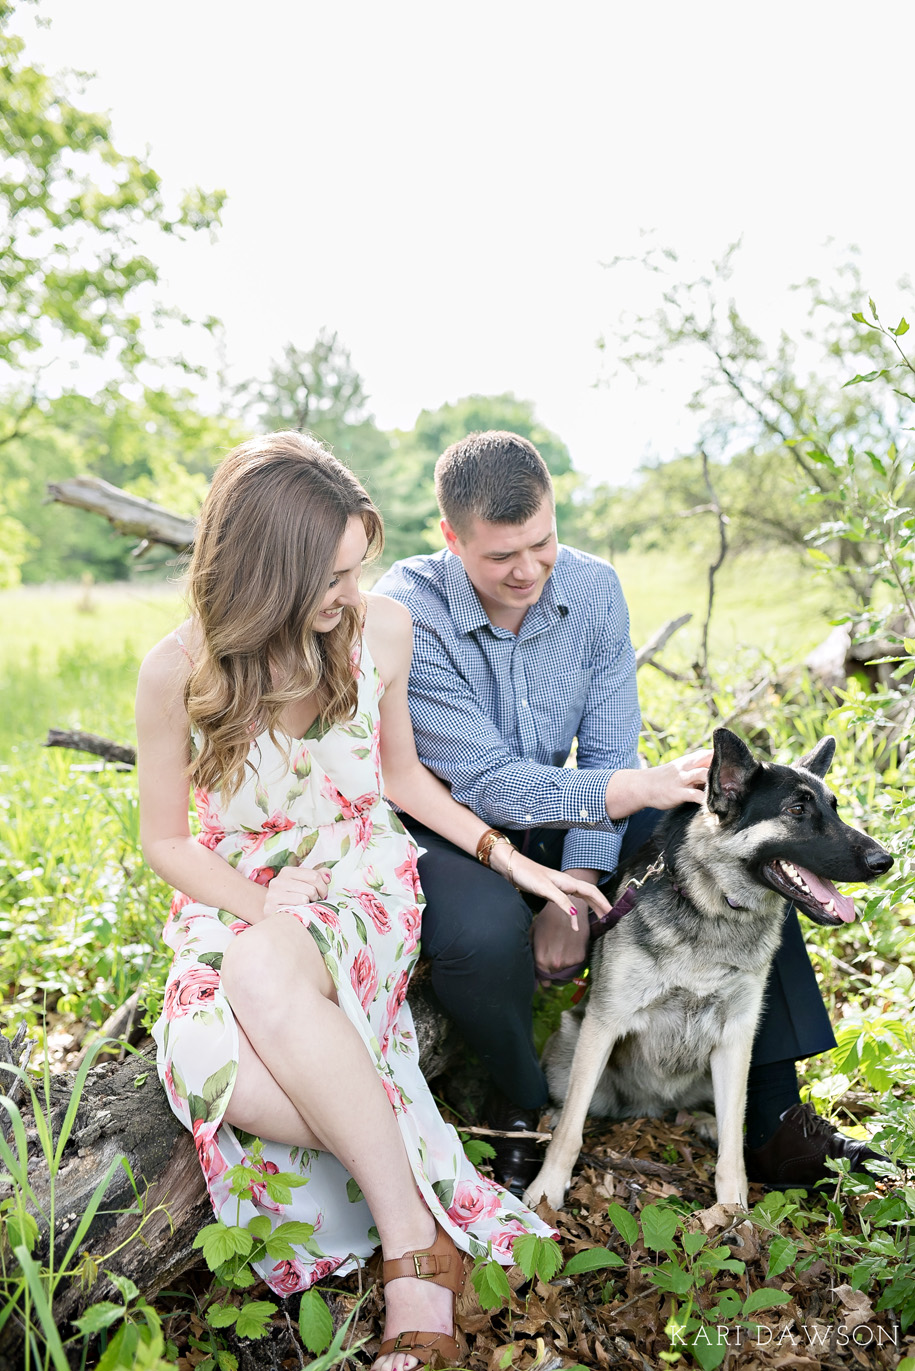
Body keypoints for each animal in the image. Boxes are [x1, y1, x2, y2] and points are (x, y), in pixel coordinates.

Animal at [529, 729, 894, 1211]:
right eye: (797, 810)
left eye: (833, 807)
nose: (884, 861)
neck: (716, 906)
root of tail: (651, 1108)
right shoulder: (603, 1024)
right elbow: (572, 1129)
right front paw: (546, 1189)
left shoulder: (736, 1039)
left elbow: (733, 1143)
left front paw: (733, 1210)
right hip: (573, 1039)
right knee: (573, 1104)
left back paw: (701, 1122)